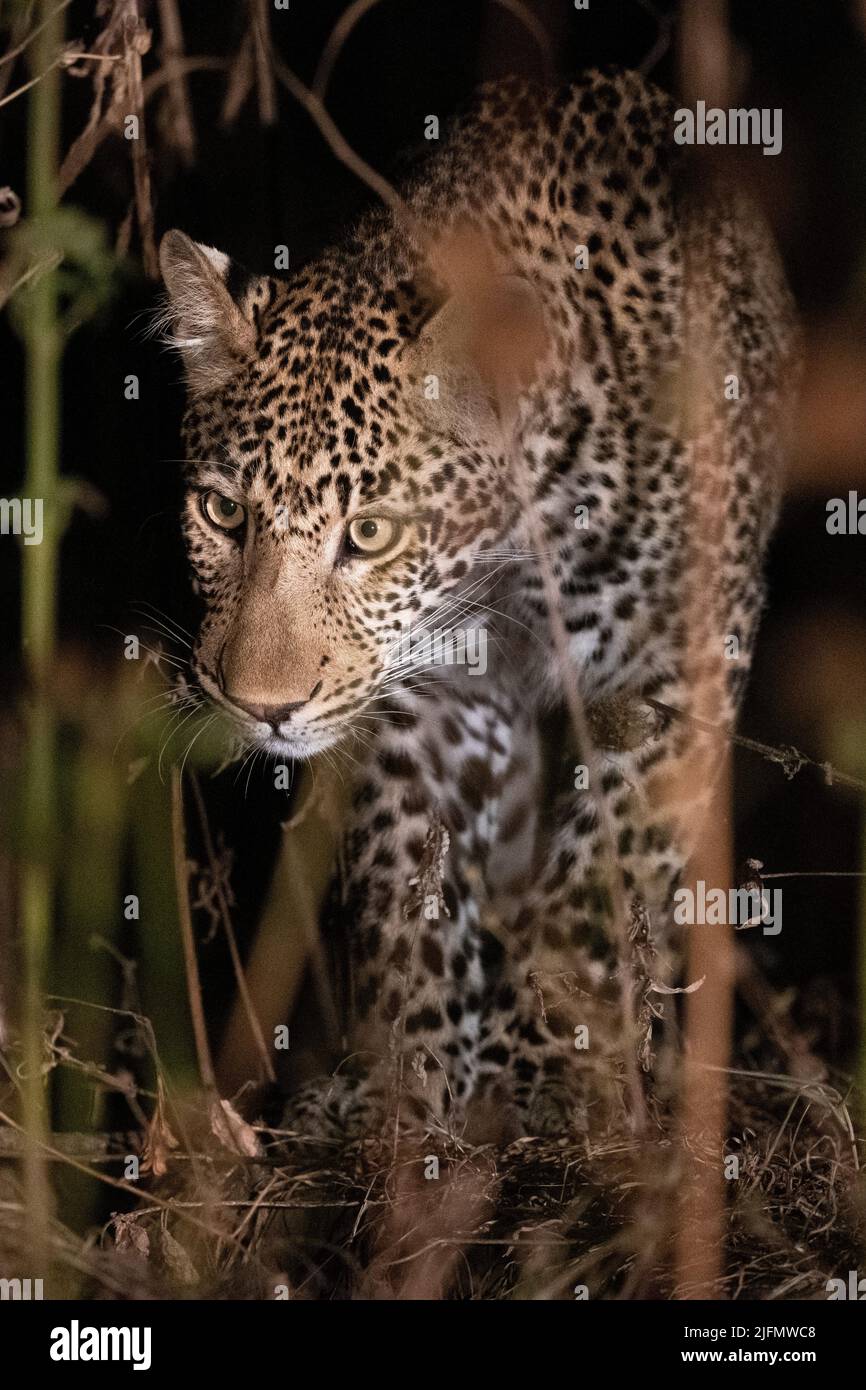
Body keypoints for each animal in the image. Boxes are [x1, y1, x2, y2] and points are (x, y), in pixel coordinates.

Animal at [156, 68, 796, 1142]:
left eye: (371, 534)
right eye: (222, 513)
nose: (262, 707)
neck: (511, 564)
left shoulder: (676, 669)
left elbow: (599, 888)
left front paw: (541, 1070)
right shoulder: (433, 704)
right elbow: (407, 890)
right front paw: (405, 1082)